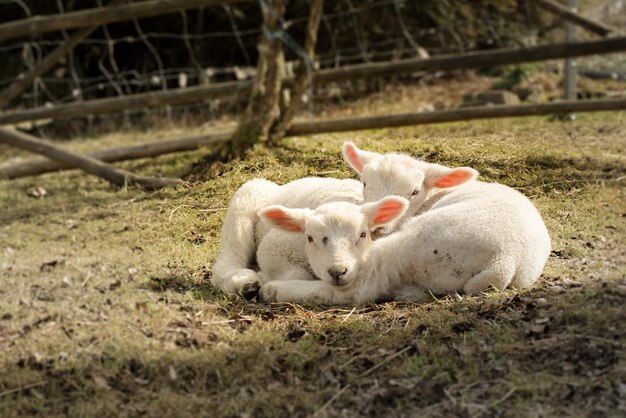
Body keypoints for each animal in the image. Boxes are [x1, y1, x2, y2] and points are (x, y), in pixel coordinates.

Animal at [210, 176, 360, 298]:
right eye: (311, 238)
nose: (337, 272)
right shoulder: (275, 244)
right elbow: (300, 274)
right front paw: (264, 279)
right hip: (246, 201)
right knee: (228, 258)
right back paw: (245, 283)